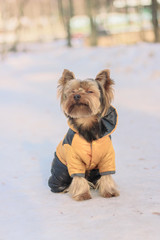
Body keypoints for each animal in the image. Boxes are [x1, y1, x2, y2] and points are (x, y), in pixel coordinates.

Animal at [48, 69, 119, 201]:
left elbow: (107, 174)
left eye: (90, 91)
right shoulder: (73, 157)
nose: (76, 96)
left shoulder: (107, 156)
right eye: (72, 91)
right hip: (61, 171)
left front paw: (109, 192)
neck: (86, 122)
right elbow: (78, 177)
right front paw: (82, 194)